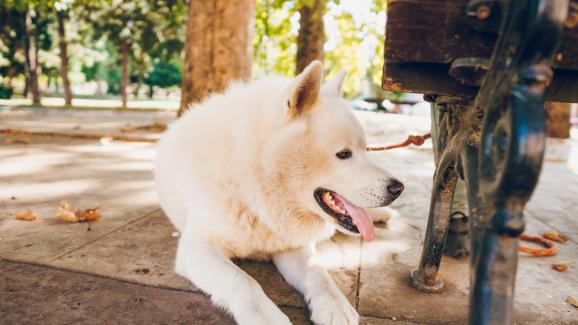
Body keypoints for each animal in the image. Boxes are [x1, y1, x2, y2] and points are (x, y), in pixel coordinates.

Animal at [155, 61, 402, 324]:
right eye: (344, 154)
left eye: (366, 150)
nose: (398, 188)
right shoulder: (198, 247)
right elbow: (243, 281)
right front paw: (266, 317)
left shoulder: (292, 246)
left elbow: (318, 272)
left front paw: (335, 305)